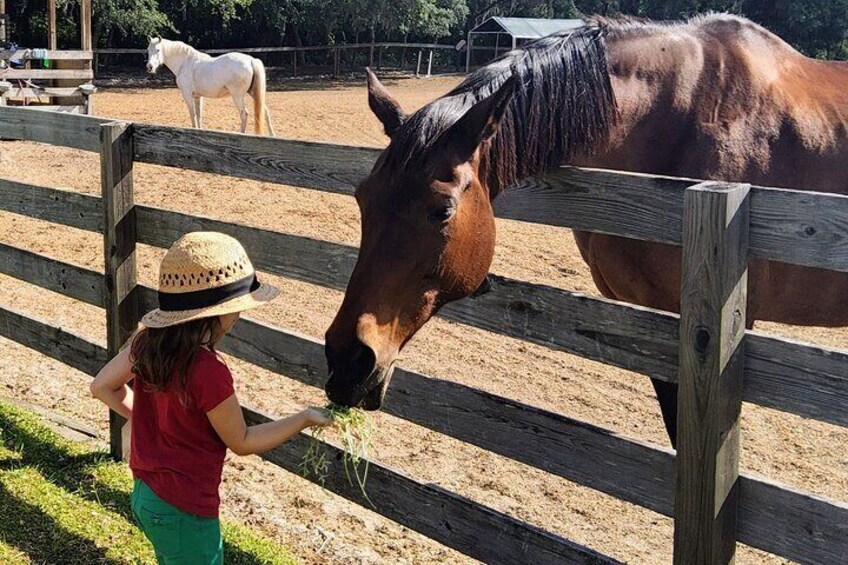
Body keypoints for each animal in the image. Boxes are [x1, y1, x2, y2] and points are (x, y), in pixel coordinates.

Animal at [146, 37, 276, 137]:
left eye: (158, 50)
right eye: (148, 50)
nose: (149, 67)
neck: (185, 62)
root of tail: (251, 60)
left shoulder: (187, 95)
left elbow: (192, 114)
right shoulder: (197, 97)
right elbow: (199, 115)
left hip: (237, 96)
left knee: (244, 114)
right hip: (253, 93)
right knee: (265, 112)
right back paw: (272, 135)